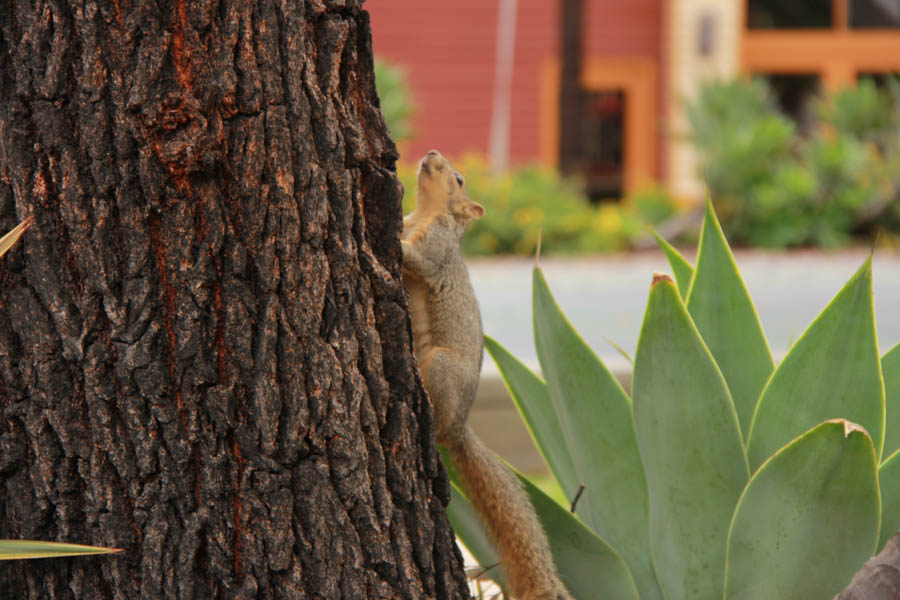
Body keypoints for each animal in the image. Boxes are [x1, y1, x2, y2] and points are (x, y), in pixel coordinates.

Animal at [402, 151, 572, 600]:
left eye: (460, 179)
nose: (431, 155)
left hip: (441, 366)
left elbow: (417, 260)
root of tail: (460, 426)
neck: (424, 212)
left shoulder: (438, 249)